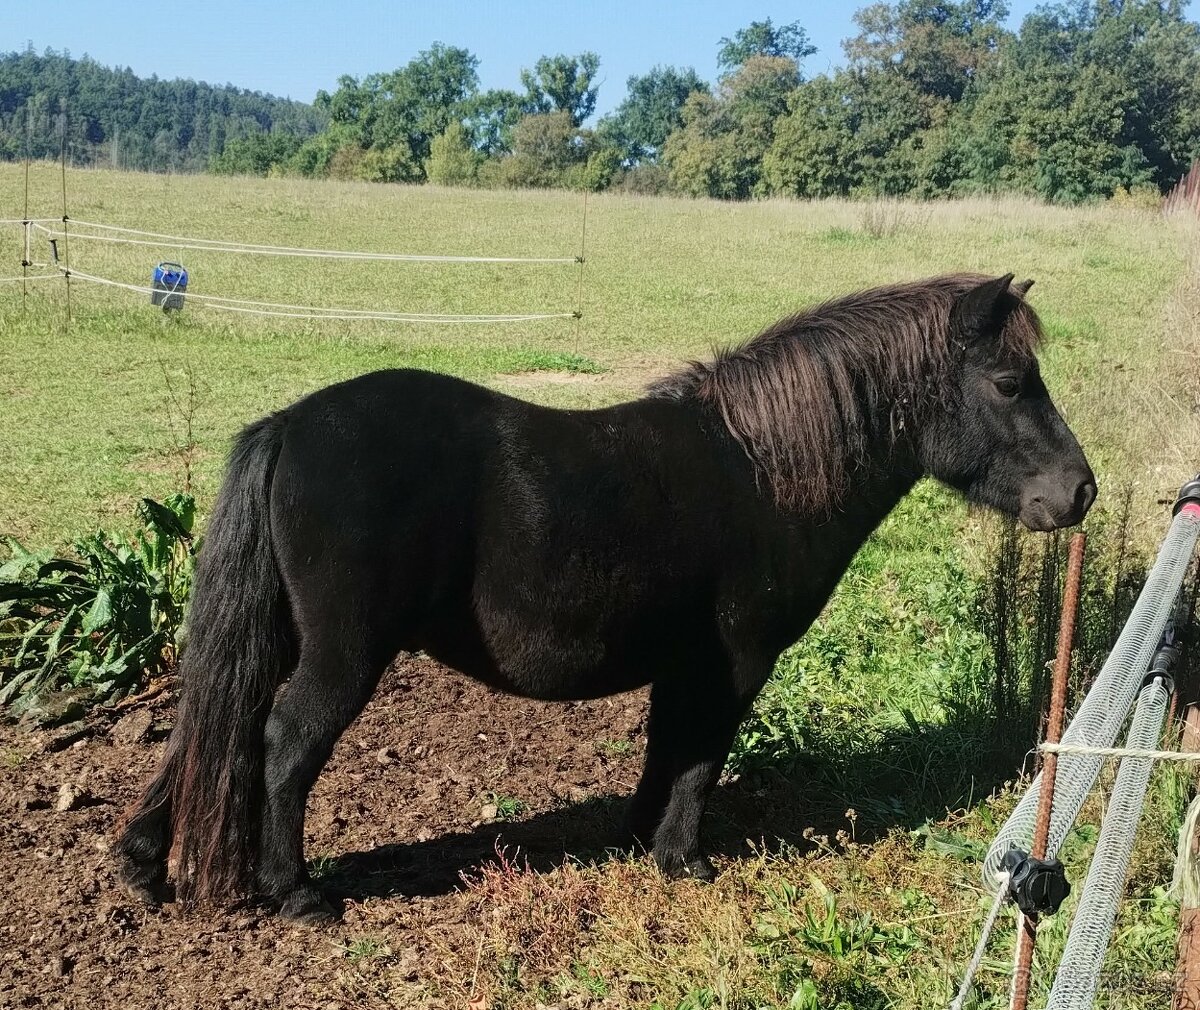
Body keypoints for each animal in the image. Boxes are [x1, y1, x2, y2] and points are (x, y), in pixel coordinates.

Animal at [114, 273, 1095, 922]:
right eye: (1010, 382)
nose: (1079, 491)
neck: (760, 470)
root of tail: (290, 425)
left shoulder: (684, 663)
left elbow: (667, 751)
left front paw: (637, 839)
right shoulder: (734, 665)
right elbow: (700, 759)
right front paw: (683, 860)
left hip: (276, 635)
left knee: (216, 720)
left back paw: (145, 860)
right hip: (343, 654)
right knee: (282, 741)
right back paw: (294, 892)